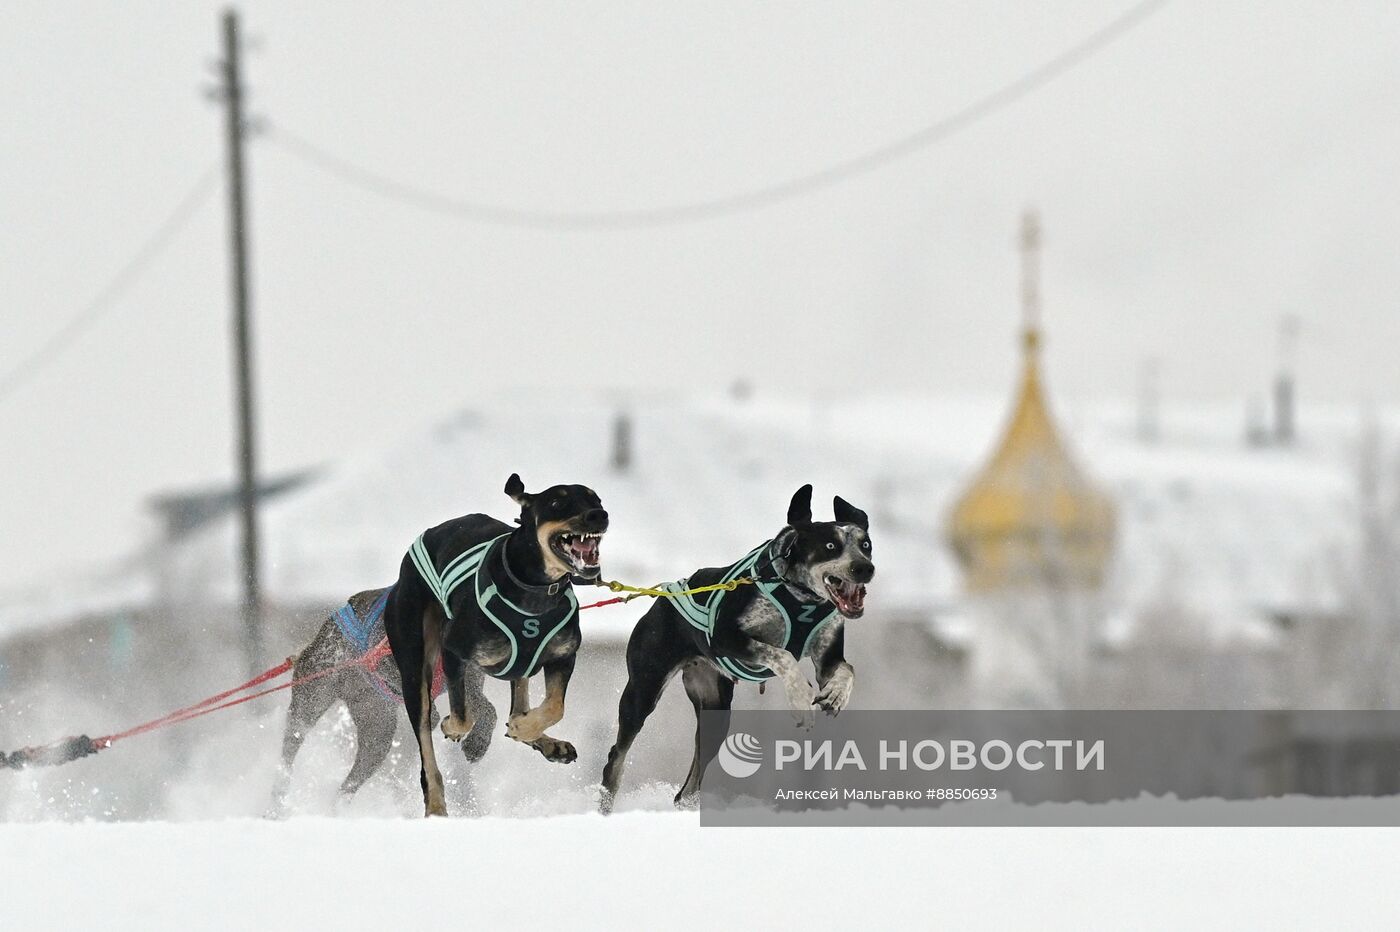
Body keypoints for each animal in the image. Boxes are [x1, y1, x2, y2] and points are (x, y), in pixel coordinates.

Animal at [596, 481, 868, 811]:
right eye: (830, 546)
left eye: (866, 545)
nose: (865, 568)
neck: (800, 597)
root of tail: (664, 597)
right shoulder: (725, 639)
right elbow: (783, 654)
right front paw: (800, 698)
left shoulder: (828, 657)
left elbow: (847, 670)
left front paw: (836, 695)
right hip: (642, 692)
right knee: (617, 757)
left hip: (716, 710)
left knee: (687, 788)